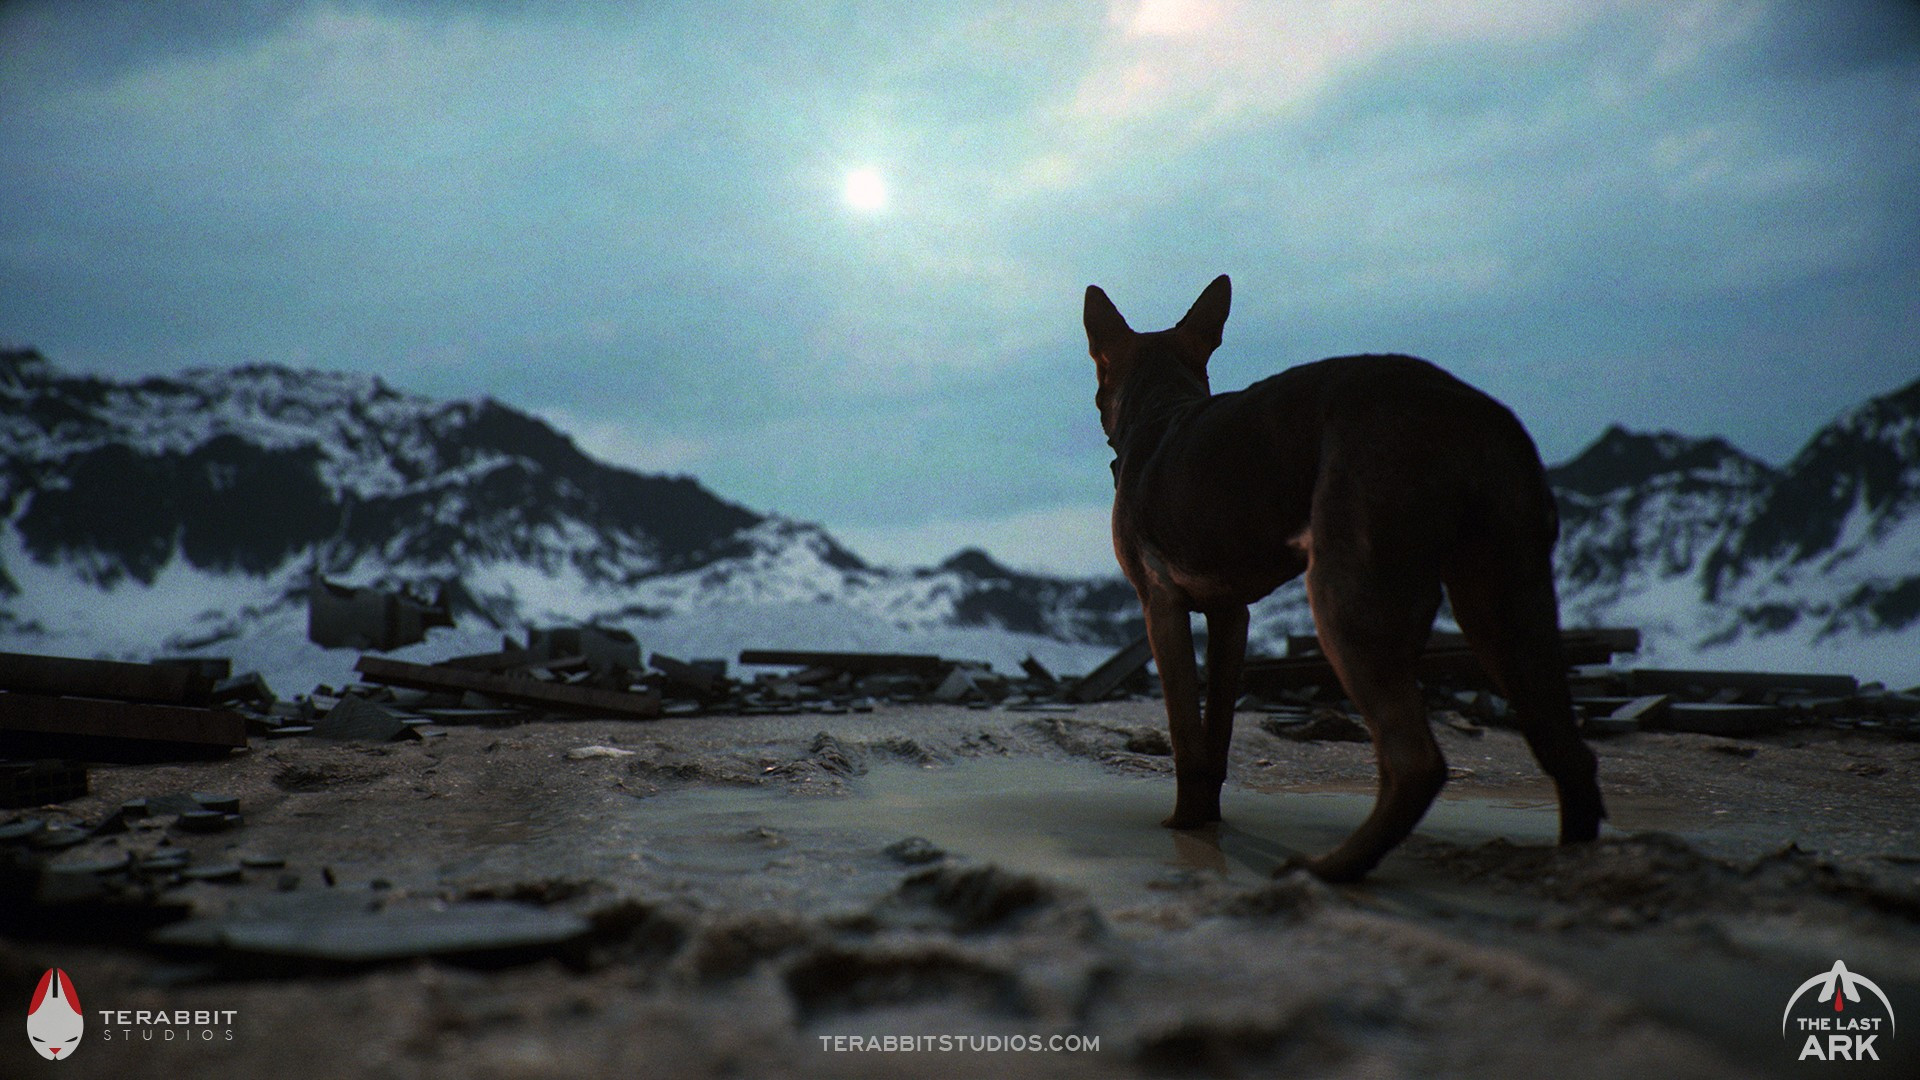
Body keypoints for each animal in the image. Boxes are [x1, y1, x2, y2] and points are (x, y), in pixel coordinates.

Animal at [1082, 272, 1605, 880]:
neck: (1160, 406)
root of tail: (1468, 412)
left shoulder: (1160, 606)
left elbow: (1188, 739)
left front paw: (1184, 824)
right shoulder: (1231, 614)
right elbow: (1217, 738)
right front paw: (1206, 819)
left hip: (1345, 598)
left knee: (1416, 762)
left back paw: (1332, 868)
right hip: (1506, 601)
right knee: (1568, 752)